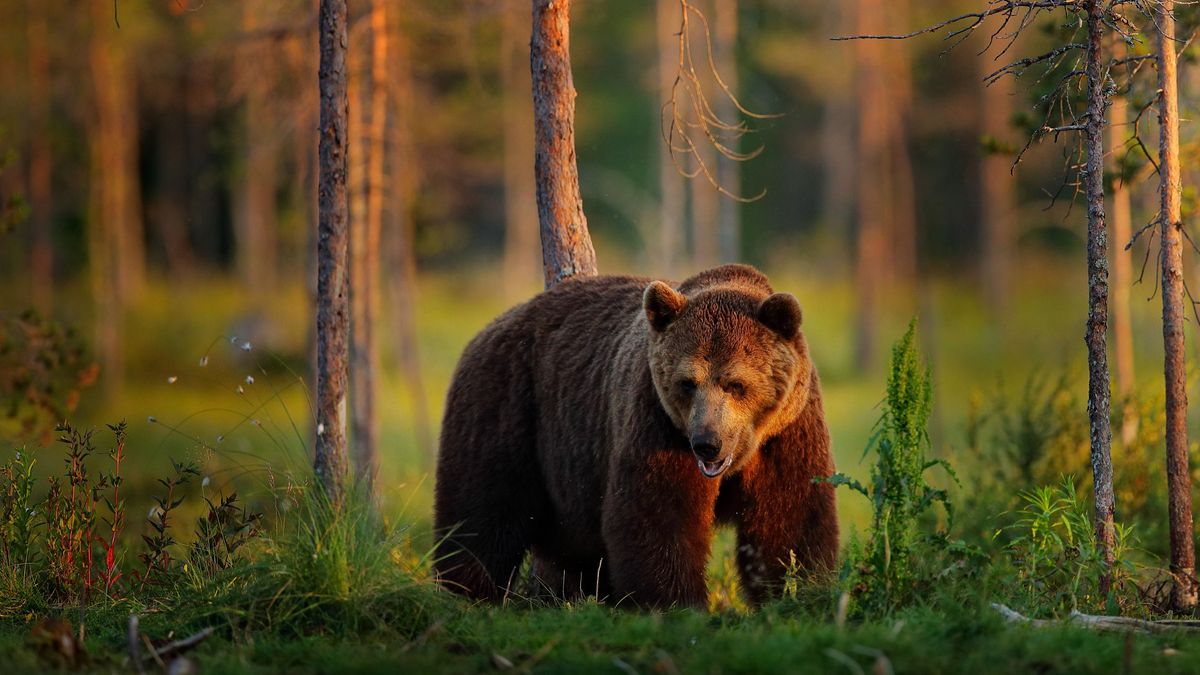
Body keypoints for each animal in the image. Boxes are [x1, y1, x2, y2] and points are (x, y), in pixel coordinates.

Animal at [433, 264, 837, 608]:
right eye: (687, 382)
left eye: (735, 383)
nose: (707, 443)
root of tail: (489, 327)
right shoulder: (657, 420)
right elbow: (659, 514)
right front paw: (676, 603)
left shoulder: (787, 431)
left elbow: (790, 517)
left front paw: (797, 592)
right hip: (510, 403)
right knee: (483, 509)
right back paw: (468, 590)